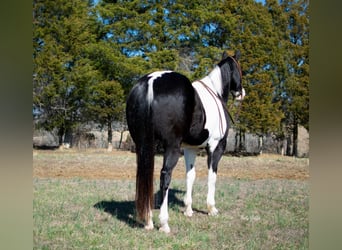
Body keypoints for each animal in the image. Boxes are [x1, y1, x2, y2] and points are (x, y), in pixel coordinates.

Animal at [127, 49, 244, 233]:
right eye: (240, 69)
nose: (241, 93)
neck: (216, 93)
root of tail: (151, 81)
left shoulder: (190, 148)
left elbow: (191, 175)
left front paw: (188, 209)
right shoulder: (216, 147)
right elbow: (212, 176)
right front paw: (211, 208)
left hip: (143, 146)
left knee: (145, 175)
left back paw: (148, 221)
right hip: (171, 147)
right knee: (165, 176)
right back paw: (164, 223)